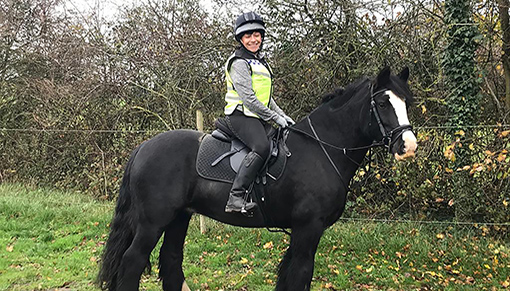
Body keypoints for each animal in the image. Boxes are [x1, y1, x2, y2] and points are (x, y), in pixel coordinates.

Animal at [96, 67, 418, 290]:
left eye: (407, 102)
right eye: (384, 103)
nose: (409, 146)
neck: (321, 148)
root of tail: (143, 147)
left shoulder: (303, 232)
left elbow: (289, 275)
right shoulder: (308, 228)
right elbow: (300, 274)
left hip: (179, 217)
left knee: (171, 261)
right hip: (153, 222)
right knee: (133, 262)